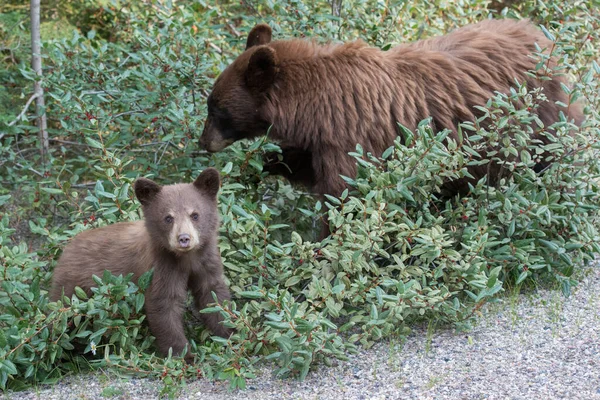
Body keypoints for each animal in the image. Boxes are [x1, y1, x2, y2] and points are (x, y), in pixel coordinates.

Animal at [50, 167, 232, 360]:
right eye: (168, 218)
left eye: (195, 215)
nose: (184, 238)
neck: (186, 258)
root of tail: (67, 247)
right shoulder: (161, 267)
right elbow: (164, 305)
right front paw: (183, 355)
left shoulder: (206, 261)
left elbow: (213, 295)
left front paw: (229, 334)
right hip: (72, 289)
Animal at [200, 21, 580, 231]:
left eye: (216, 109)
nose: (203, 143)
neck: (314, 108)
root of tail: (545, 38)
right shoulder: (321, 142)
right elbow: (307, 169)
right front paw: (270, 163)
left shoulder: (353, 139)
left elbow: (346, 200)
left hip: (540, 116)